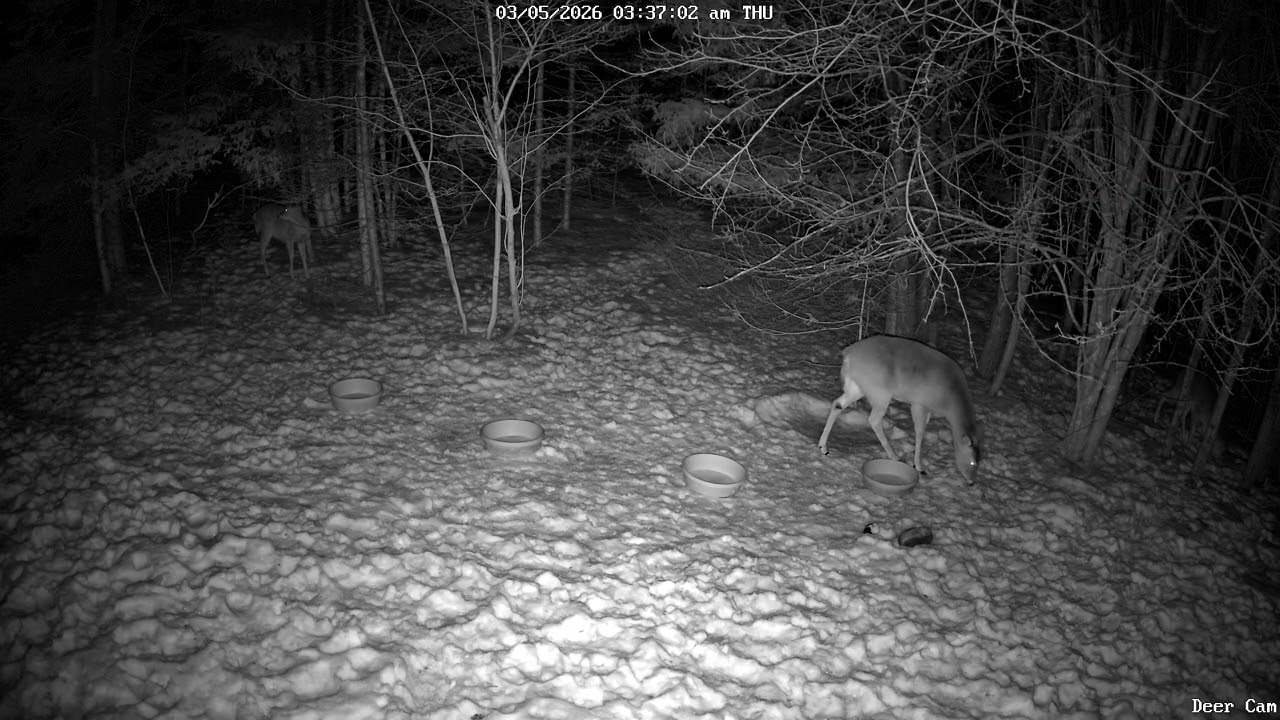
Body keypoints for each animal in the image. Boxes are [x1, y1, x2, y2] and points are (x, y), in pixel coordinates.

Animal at [817, 335, 981, 484]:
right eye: (972, 462)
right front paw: (919, 467)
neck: (951, 400)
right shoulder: (919, 404)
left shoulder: (928, 409)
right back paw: (894, 456)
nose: (972, 482)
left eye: (979, 461)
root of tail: (848, 353)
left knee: (838, 404)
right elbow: (920, 432)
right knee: (873, 419)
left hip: (856, 387)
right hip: (880, 393)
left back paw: (823, 446)